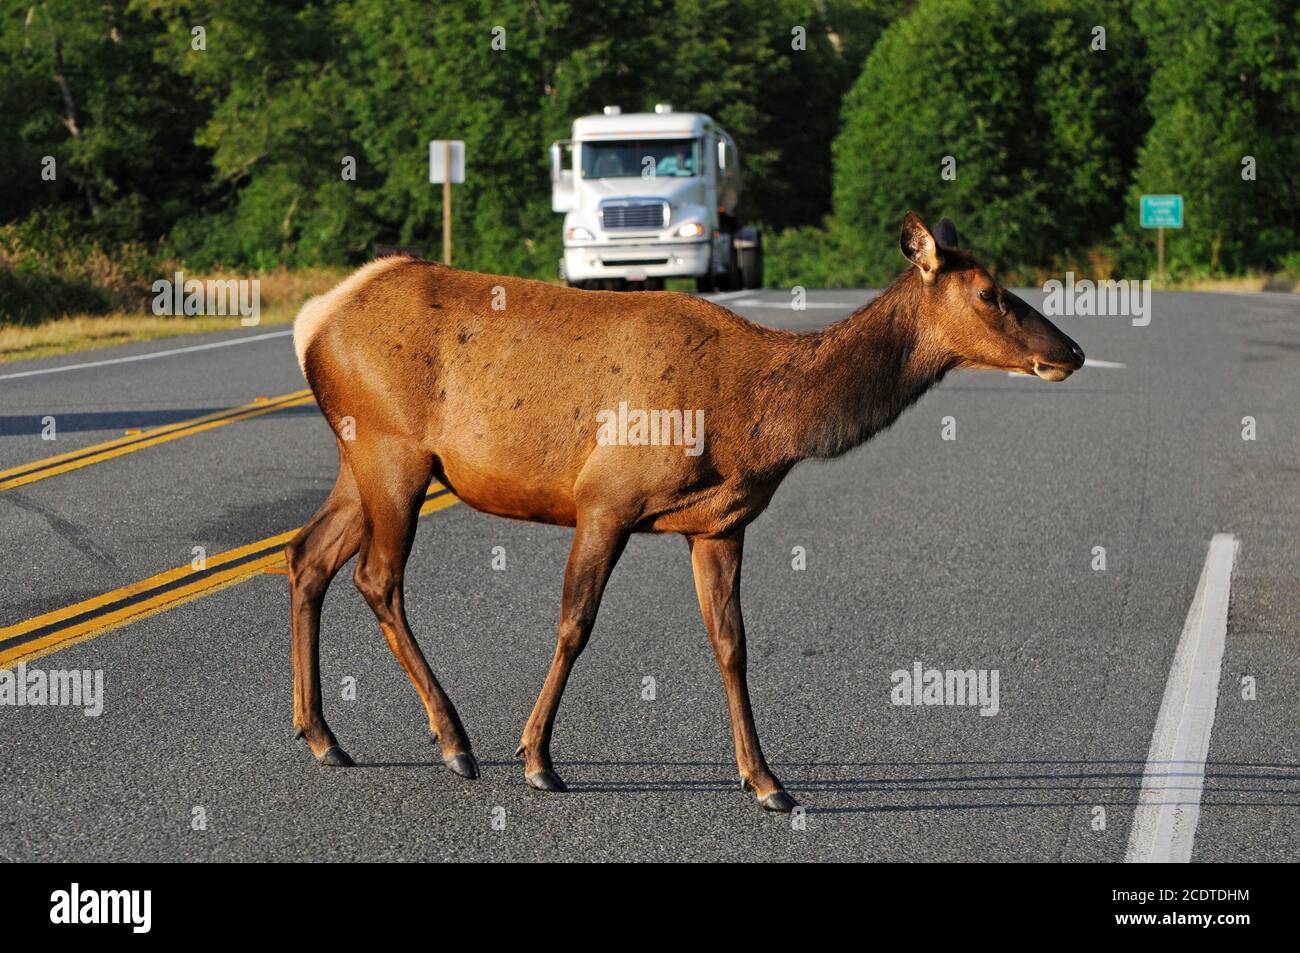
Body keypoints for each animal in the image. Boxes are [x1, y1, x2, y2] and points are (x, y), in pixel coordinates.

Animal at [289, 213, 1081, 811]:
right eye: (990, 292)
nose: (1071, 350)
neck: (762, 420)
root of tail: (313, 320)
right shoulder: (606, 497)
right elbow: (575, 624)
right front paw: (538, 758)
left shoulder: (719, 524)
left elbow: (732, 644)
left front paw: (767, 781)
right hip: (392, 449)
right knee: (376, 577)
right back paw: (453, 741)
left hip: (364, 460)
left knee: (307, 555)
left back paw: (324, 736)